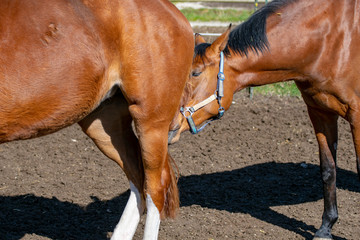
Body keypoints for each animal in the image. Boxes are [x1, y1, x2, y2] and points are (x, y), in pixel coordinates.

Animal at [169, 0, 360, 240]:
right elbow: (328, 169)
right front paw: (325, 228)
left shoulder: (357, 117)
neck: (331, 41)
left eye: (195, 73)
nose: (169, 127)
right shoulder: (320, 112)